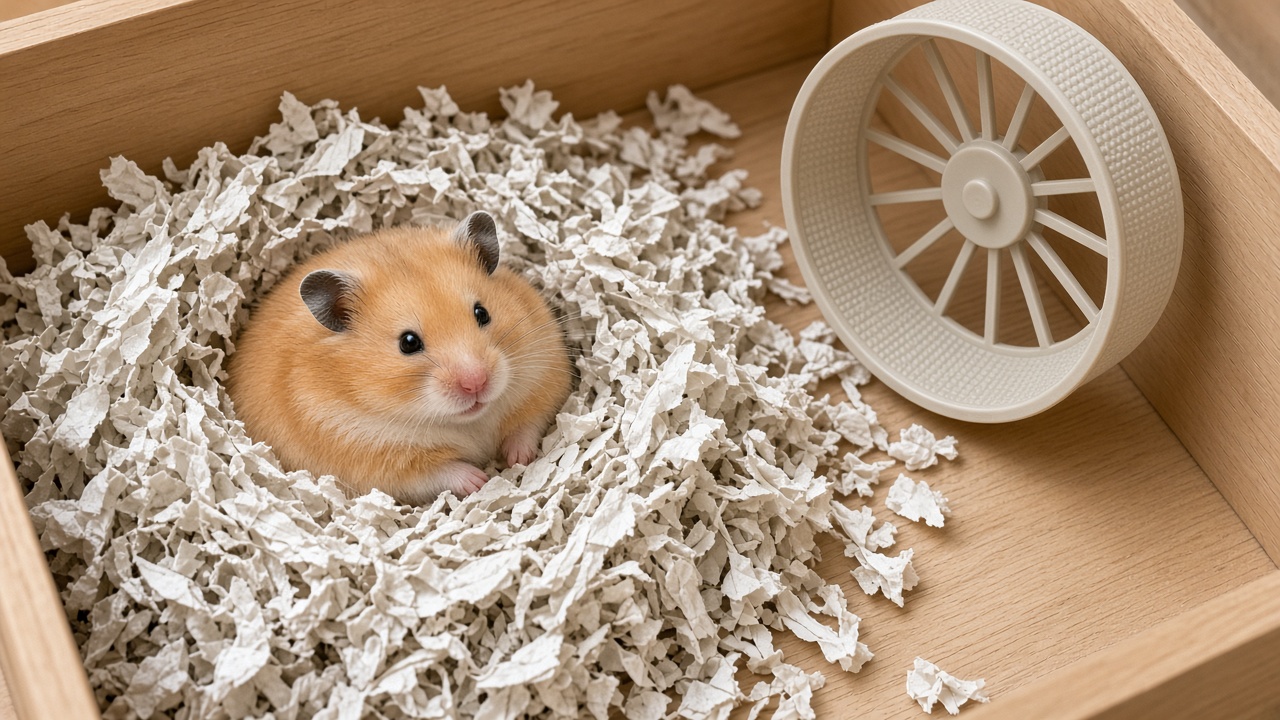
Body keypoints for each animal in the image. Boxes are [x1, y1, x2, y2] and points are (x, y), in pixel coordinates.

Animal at [227, 212, 572, 503]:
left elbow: (527, 424)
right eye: (408, 343)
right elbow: (439, 471)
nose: (476, 383)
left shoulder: (544, 373)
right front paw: (480, 480)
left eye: (482, 313)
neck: (470, 421)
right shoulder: (376, 462)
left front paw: (519, 459)